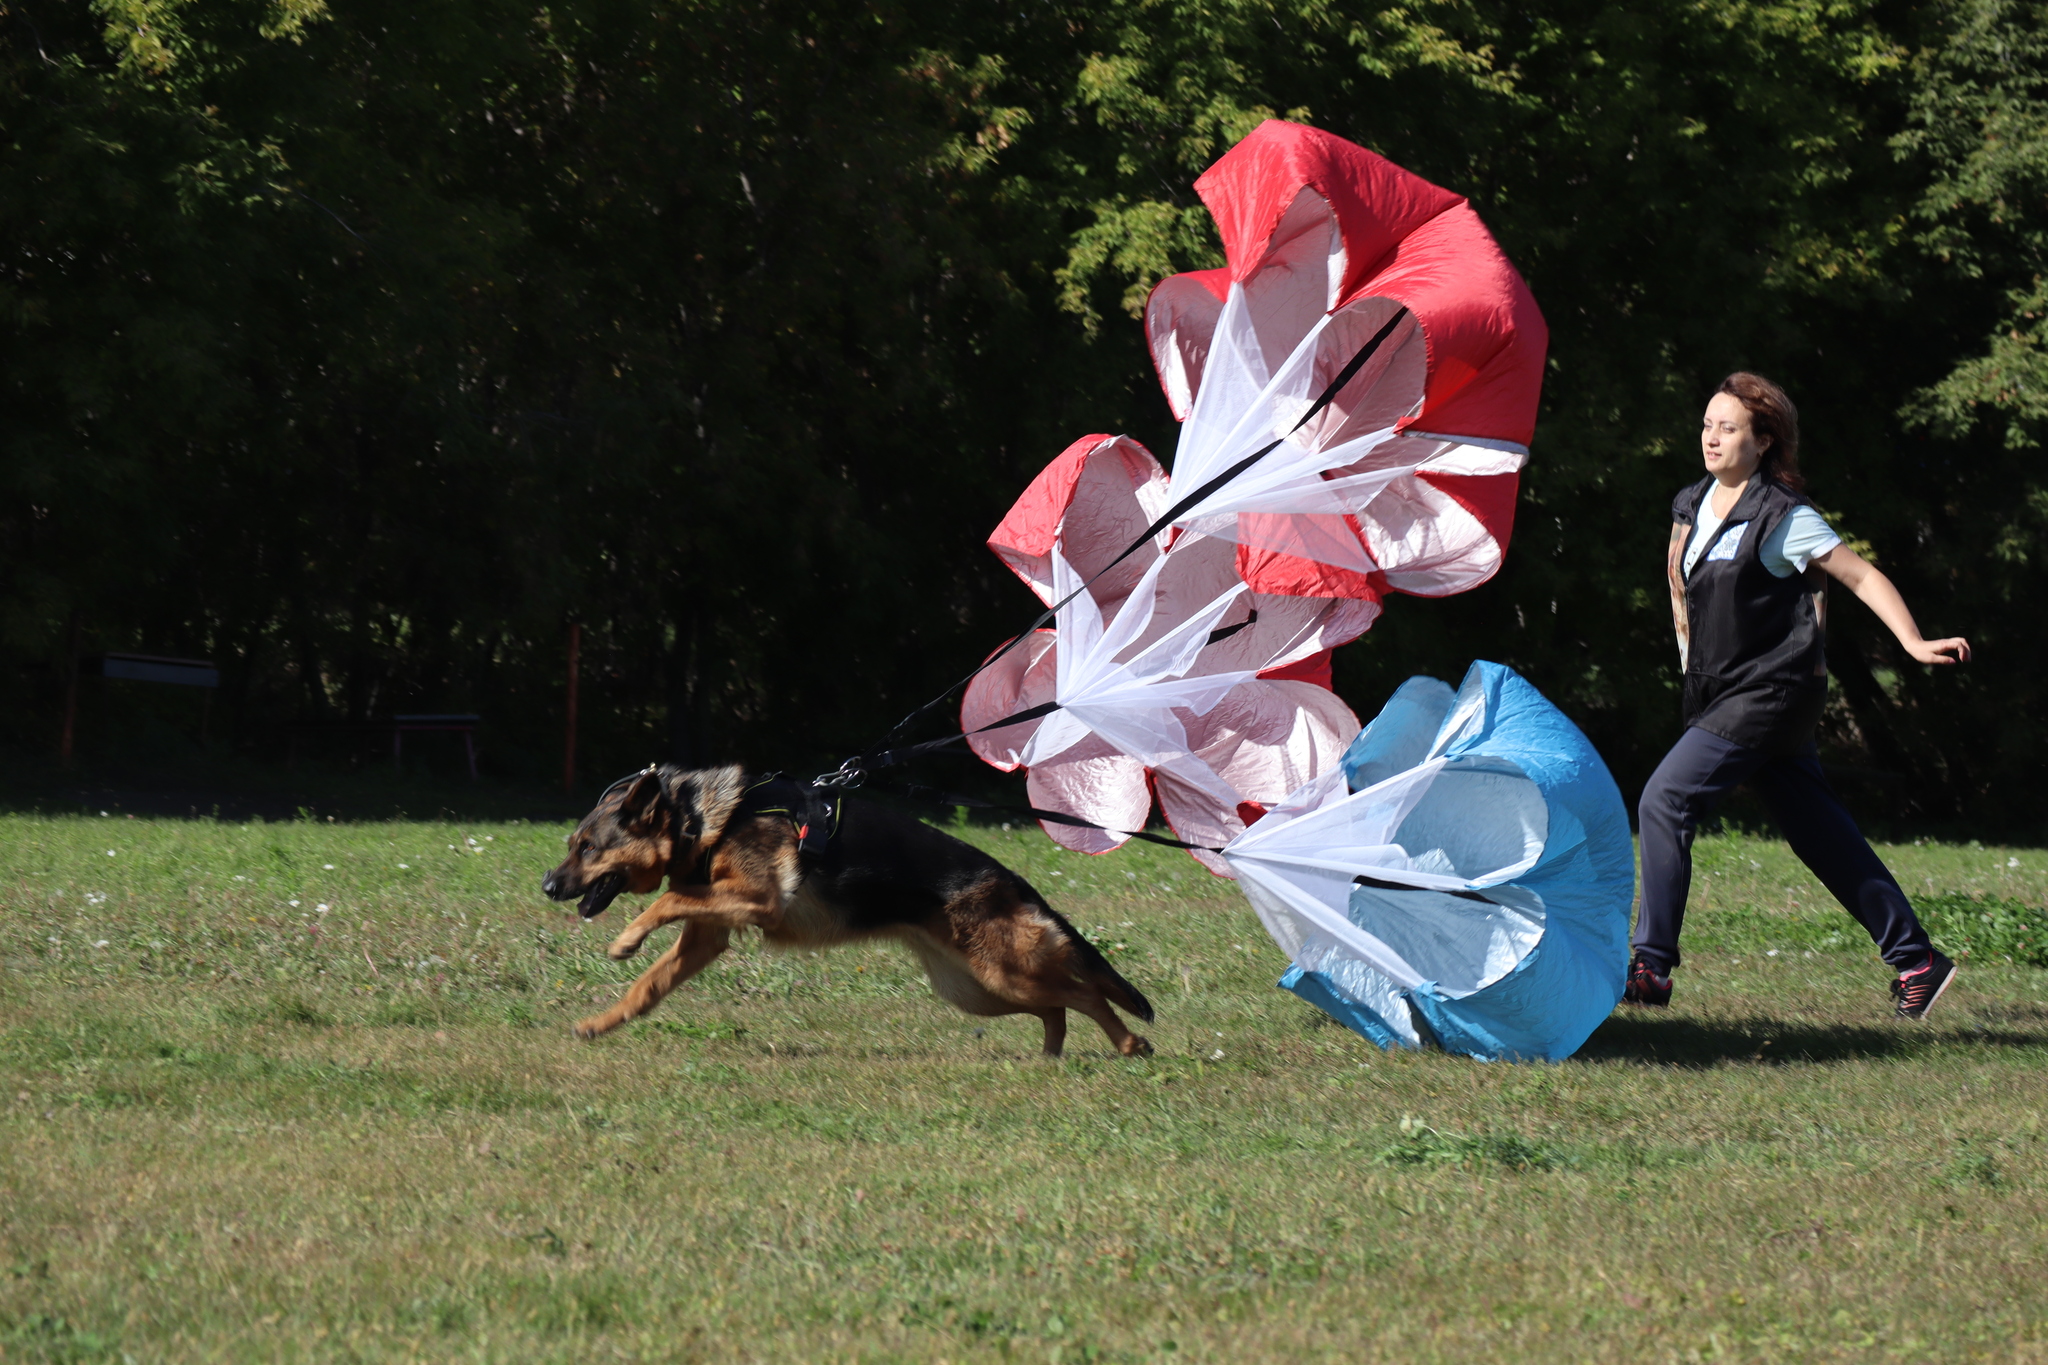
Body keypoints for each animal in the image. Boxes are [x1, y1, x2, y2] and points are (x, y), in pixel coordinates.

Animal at [540, 769, 1155, 1055]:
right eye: (571, 844)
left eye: (587, 848)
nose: (546, 885)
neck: (699, 821)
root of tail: (1015, 883)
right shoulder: (704, 938)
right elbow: (647, 987)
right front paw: (601, 1022)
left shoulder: (758, 899)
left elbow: (665, 900)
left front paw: (626, 939)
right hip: (977, 989)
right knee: (1056, 1007)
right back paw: (1050, 1056)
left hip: (1003, 974)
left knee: (1083, 994)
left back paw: (1128, 1045)